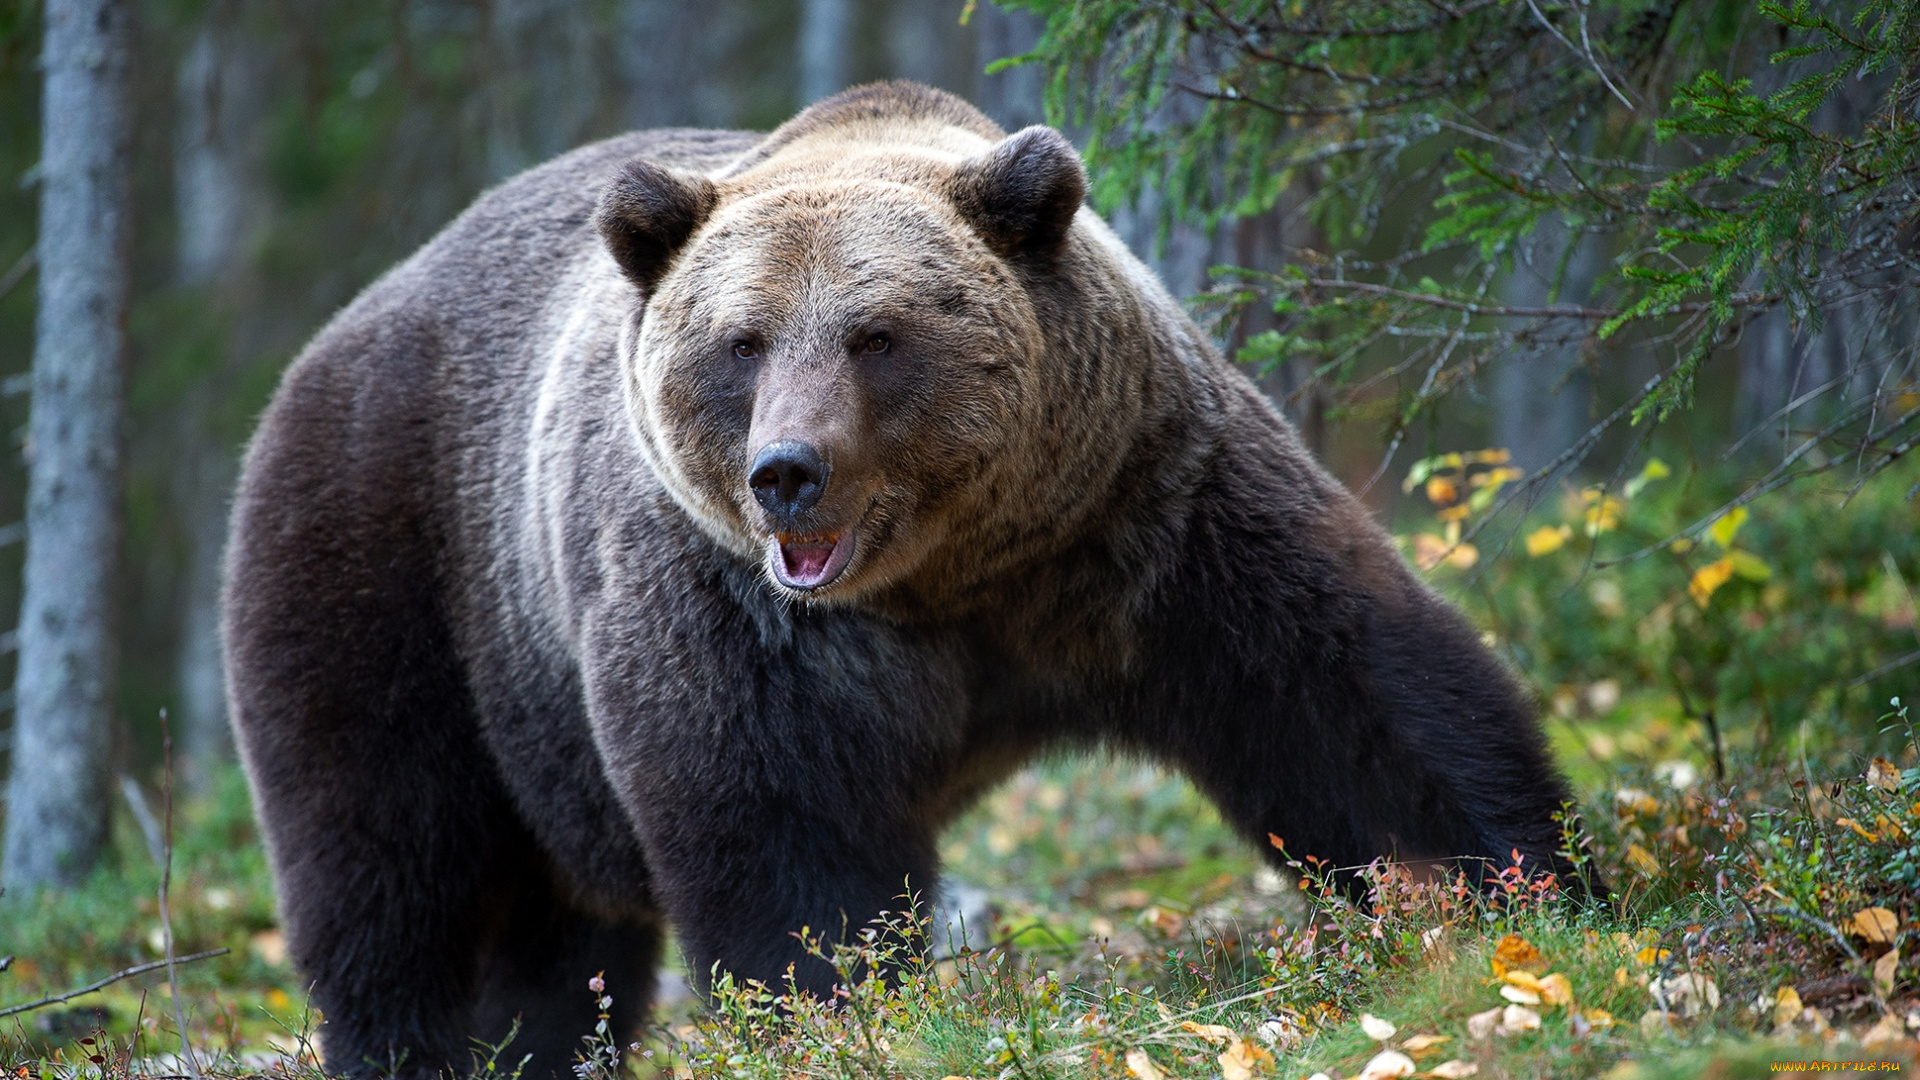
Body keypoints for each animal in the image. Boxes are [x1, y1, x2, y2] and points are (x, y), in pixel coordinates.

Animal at [223, 82, 1589, 1080]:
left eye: (875, 334)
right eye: (742, 342)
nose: (787, 472)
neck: (955, 575)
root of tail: (344, 327)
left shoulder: (1145, 514)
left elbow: (1342, 698)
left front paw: (1526, 887)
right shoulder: (741, 607)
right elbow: (780, 825)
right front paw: (829, 1009)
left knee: (551, 939)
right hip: (398, 561)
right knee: (392, 864)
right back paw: (414, 1046)